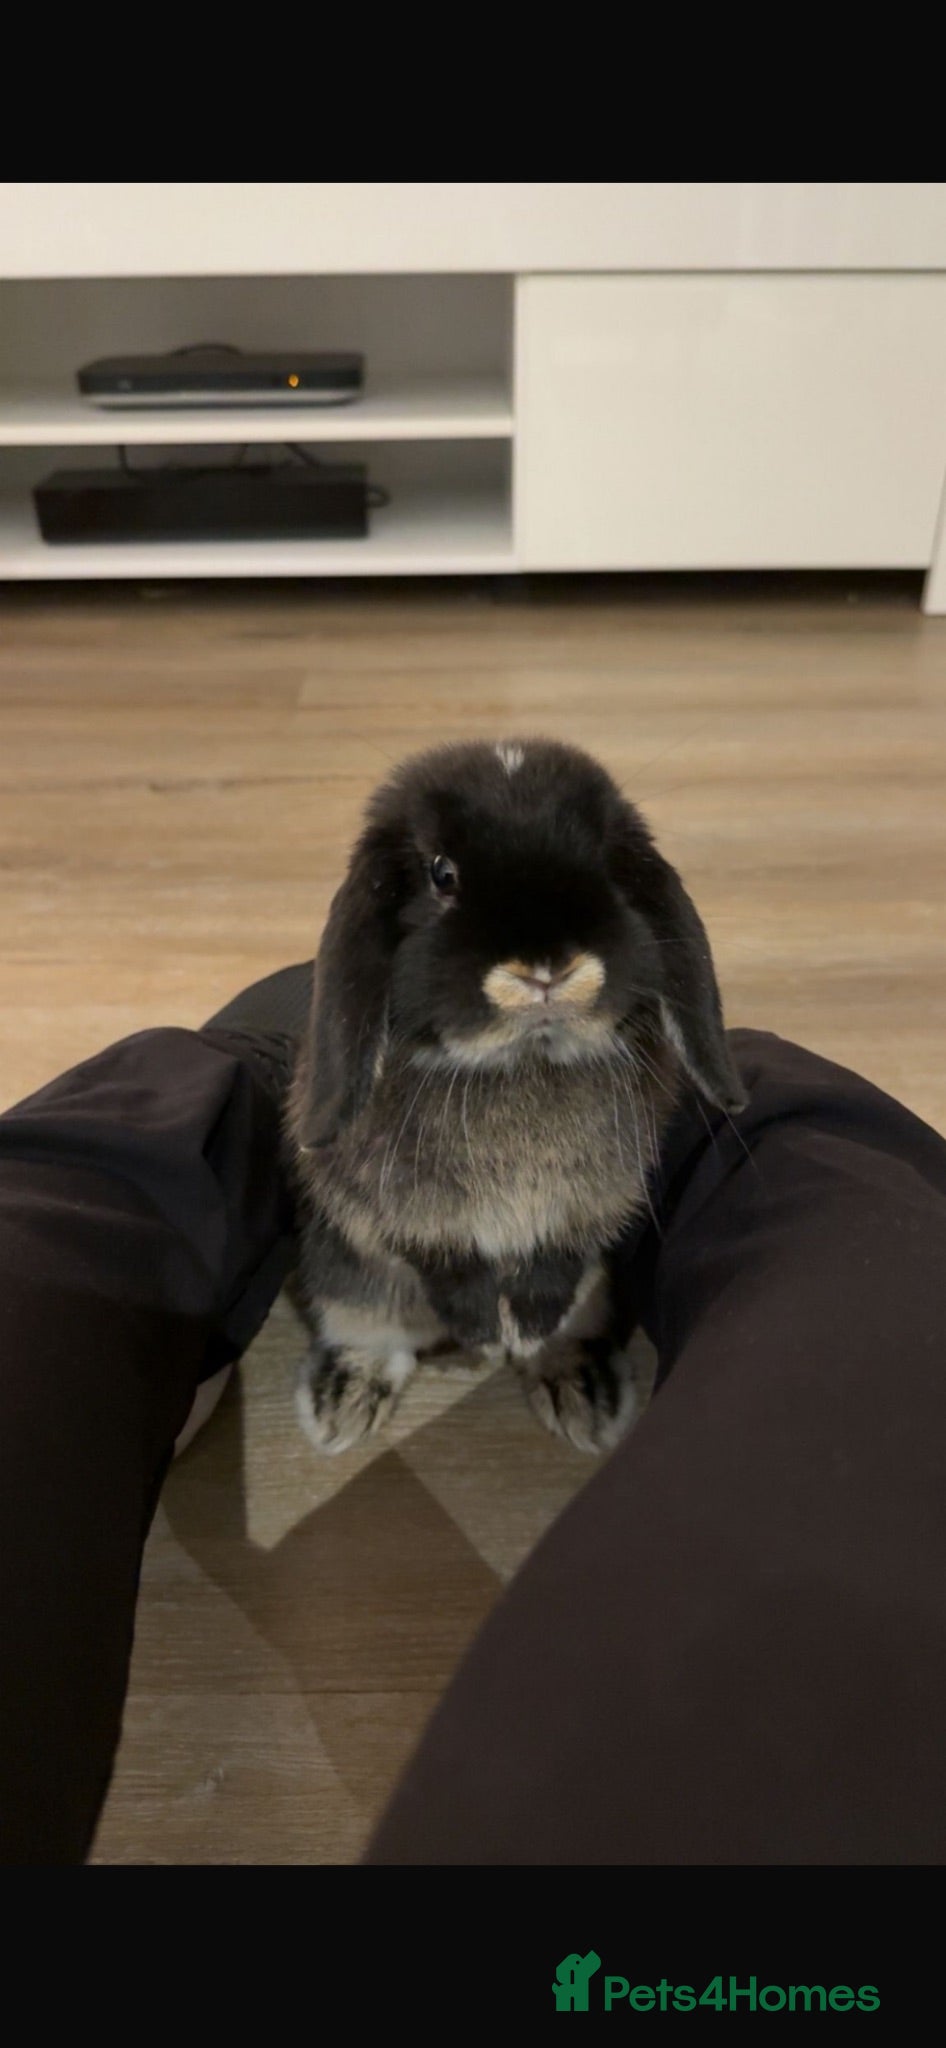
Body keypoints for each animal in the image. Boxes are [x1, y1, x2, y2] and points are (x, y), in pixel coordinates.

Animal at [287, 737, 745, 1456]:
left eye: (607, 863)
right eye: (442, 874)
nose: (547, 968)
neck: (522, 1061)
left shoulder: (591, 1207)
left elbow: (557, 1259)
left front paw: (524, 1327)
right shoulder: (404, 1213)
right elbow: (441, 1258)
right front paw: (483, 1328)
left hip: (598, 1295)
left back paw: (582, 1394)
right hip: (347, 1276)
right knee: (369, 1332)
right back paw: (345, 1406)